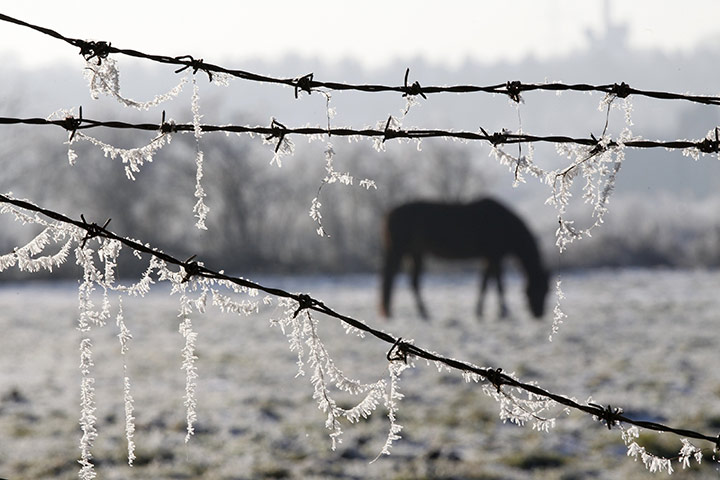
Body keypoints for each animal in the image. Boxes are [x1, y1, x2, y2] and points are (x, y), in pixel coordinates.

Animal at [380, 198, 549, 319]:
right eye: (540, 289)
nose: (539, 314)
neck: (505, 225)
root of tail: (389, 213)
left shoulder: (488, 258)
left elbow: (485, 283)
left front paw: (479, 311)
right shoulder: (495, 257)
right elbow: (499, 284)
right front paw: (503, 312)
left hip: (415, 253)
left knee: (412, 282)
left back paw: (421, 312)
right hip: (399, 251)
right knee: (393, 278)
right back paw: (397, 312)